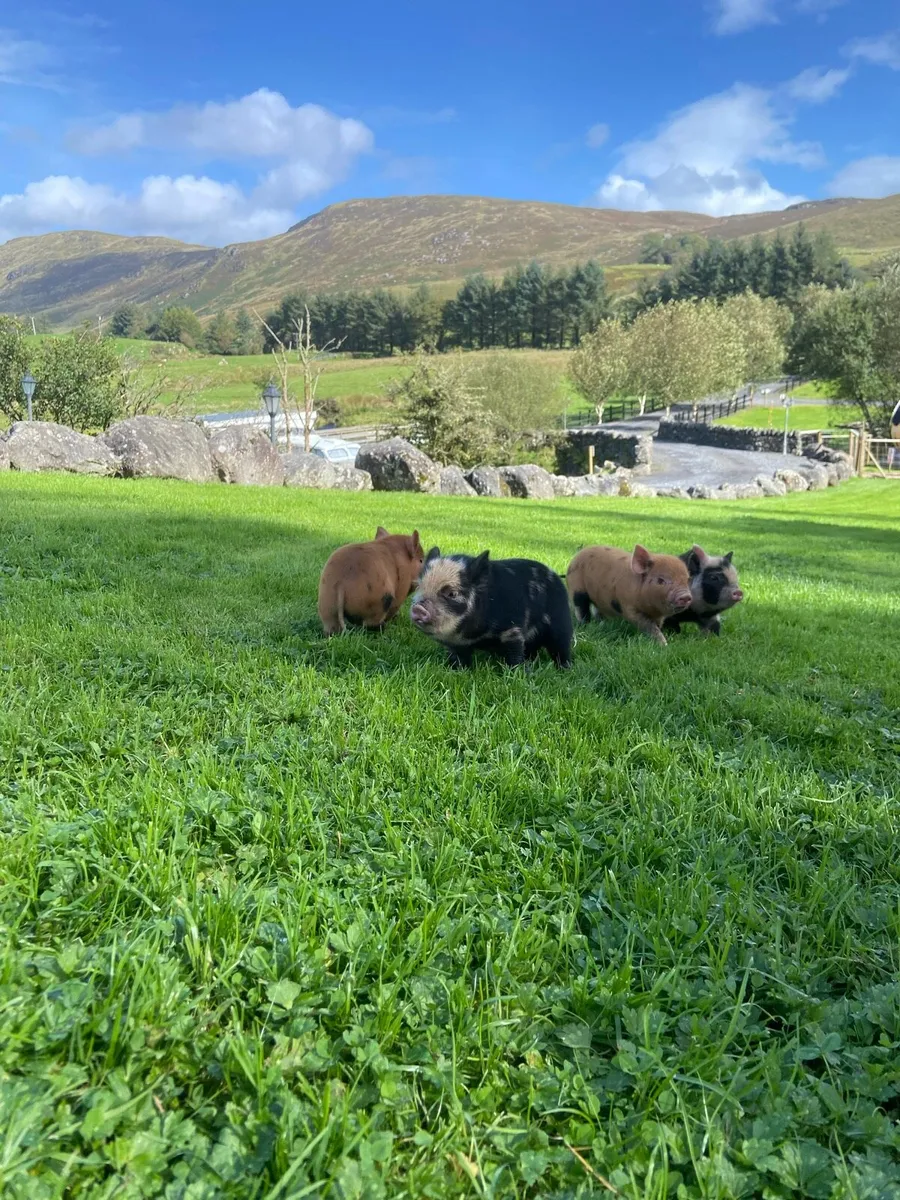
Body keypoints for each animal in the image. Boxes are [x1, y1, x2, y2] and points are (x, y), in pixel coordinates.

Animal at [410, 548, 573, 669]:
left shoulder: (512, 630)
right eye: (419, 586)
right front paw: (455, 670)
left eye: (452, 593)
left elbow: (514, 654)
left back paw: (564, 669)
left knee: (561, 647)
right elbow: (459, 657)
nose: (418, 608)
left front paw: (515, 673)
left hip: (561, 624)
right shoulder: (457, 644)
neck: (475, 635)